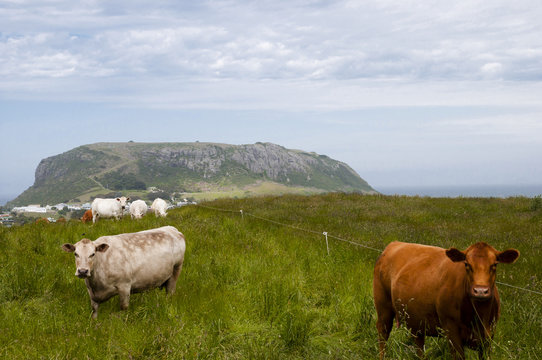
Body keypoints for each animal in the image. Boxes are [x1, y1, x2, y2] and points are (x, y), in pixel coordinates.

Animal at [374, 240, 524, 358]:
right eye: (466, 264)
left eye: (494, 265)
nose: (480, 291)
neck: (478, 315)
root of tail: (394, 243)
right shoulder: (451, 330)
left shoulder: (489, 335)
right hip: (383, 308)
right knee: (383, 335)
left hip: (416, 320)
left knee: (419, 345)